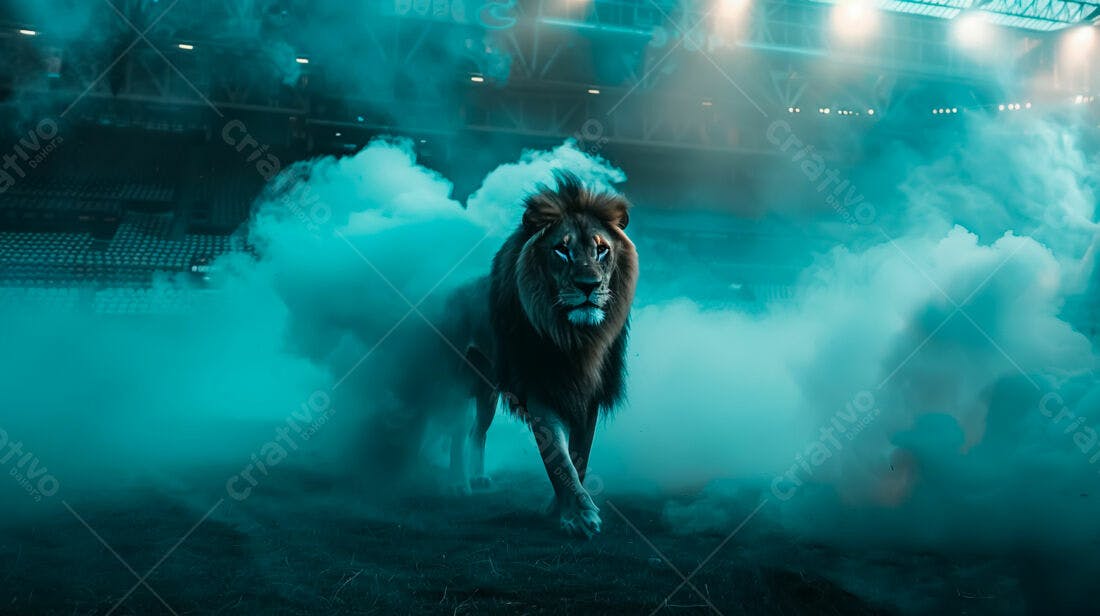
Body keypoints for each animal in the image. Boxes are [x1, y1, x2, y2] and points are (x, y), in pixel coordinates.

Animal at [437, 171, 637, 538]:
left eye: (602, 250)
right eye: (562, 250)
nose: (588, 285)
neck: (575, 338)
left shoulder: (587, 396)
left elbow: (580, 456)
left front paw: (556, 508)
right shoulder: (540, 388)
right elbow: (558, 458)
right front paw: (579, 516)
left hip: (488, 392)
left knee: (477, 431)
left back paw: (478, 477)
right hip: (460, 380)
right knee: (458, 431)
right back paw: (458, 482)